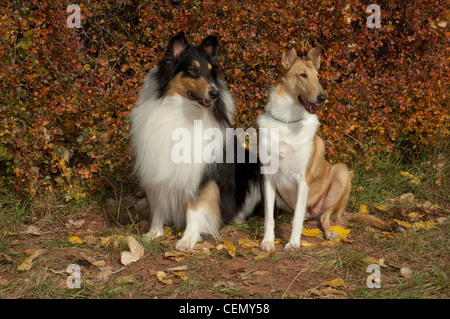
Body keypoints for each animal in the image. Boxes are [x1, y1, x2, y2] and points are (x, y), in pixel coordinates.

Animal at [258, 47, 396, 252]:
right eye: (303, 75)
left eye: (317, 76)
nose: (322, 97)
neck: (287, 122)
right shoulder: (269, 178)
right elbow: (269, 217)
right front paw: (267, 242)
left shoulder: (303, 179)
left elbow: (298, 219)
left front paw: (293, 243)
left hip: (341, 173)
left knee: (325, 217)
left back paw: (330, 233)